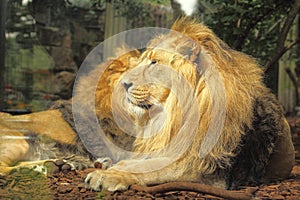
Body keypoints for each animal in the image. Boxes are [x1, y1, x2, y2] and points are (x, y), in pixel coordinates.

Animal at [0, 18, 296, 191]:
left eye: (154, 63)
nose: (126, 84)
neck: (173, 114)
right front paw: (109, 168)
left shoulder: (206, 168)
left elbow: (155, 168)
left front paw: (110, 176)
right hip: (19, 140)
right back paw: (54, 166)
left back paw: (60, 165)